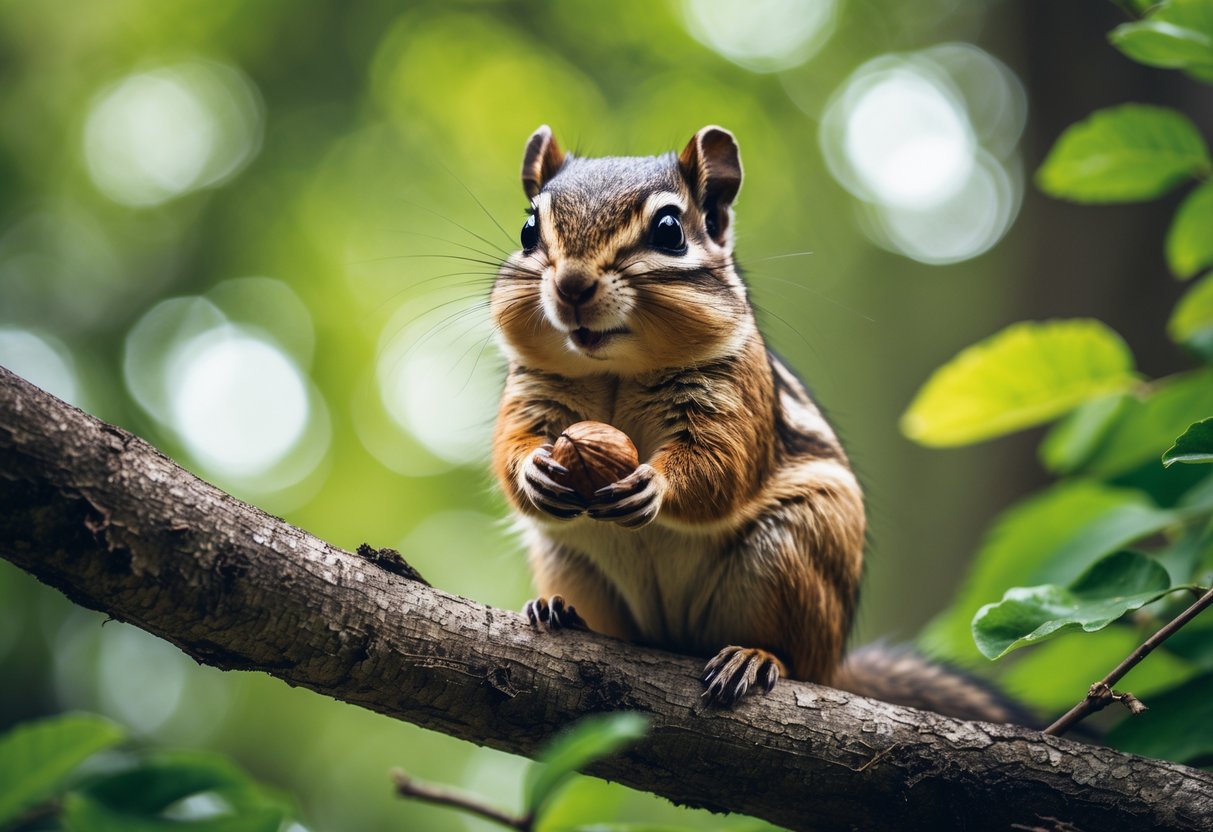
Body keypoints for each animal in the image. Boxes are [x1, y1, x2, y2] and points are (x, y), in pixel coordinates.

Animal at [489, 124, 1025, 722]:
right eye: (528, 230)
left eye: (670, 230)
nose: (573, 285)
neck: (616, 370)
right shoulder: (532, 391)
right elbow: (510, 446)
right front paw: (533, 470)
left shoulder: (734, 393)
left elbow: (722, 466)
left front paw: (655, 484)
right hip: (567, 557)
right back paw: (559, 611)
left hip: (792, 551)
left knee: (794, 657)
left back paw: (754, 656)